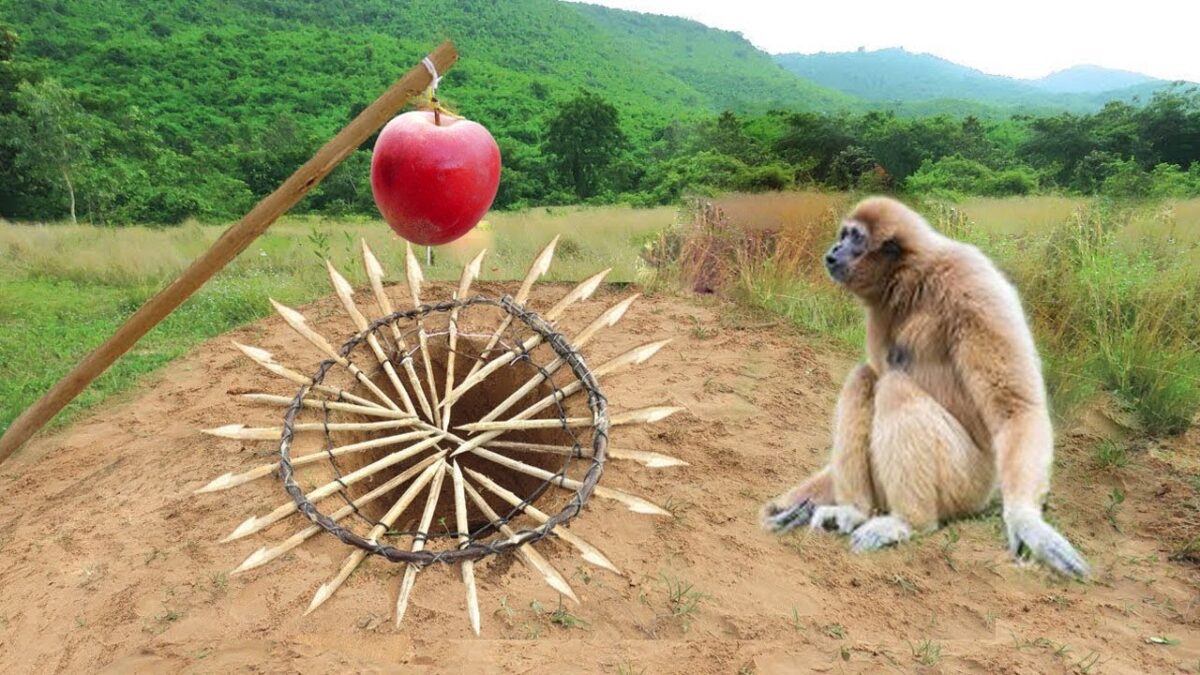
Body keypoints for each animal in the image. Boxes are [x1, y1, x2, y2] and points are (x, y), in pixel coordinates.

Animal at [759, 196, 1088, 578]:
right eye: (843, 235)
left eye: (855, 237)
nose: (835, 249)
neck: (915, 281)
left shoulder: (972, 281)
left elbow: (1015, 407)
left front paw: (1027, 522)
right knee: (866, 378)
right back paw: (852, 511)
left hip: (968, 482)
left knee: (894, 388)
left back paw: (908, 522)